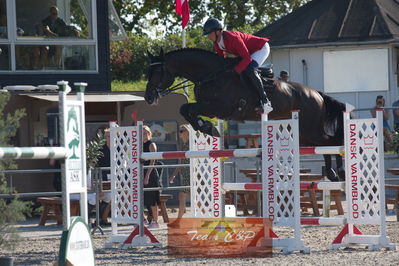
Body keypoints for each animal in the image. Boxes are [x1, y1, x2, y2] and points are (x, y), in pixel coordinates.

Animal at [146, 47, 346, 182]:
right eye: (148, 72)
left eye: (158, 71)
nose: (148, 97)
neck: (211, 75)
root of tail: (316, 93)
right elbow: (185, 109)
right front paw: (206, 127)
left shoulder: (220, 107)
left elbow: (189, 109)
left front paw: (208, 127)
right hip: (305, 134)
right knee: (324, 146)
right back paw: (331, 173)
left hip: (311, 129)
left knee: (333, 142)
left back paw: (340, 172)